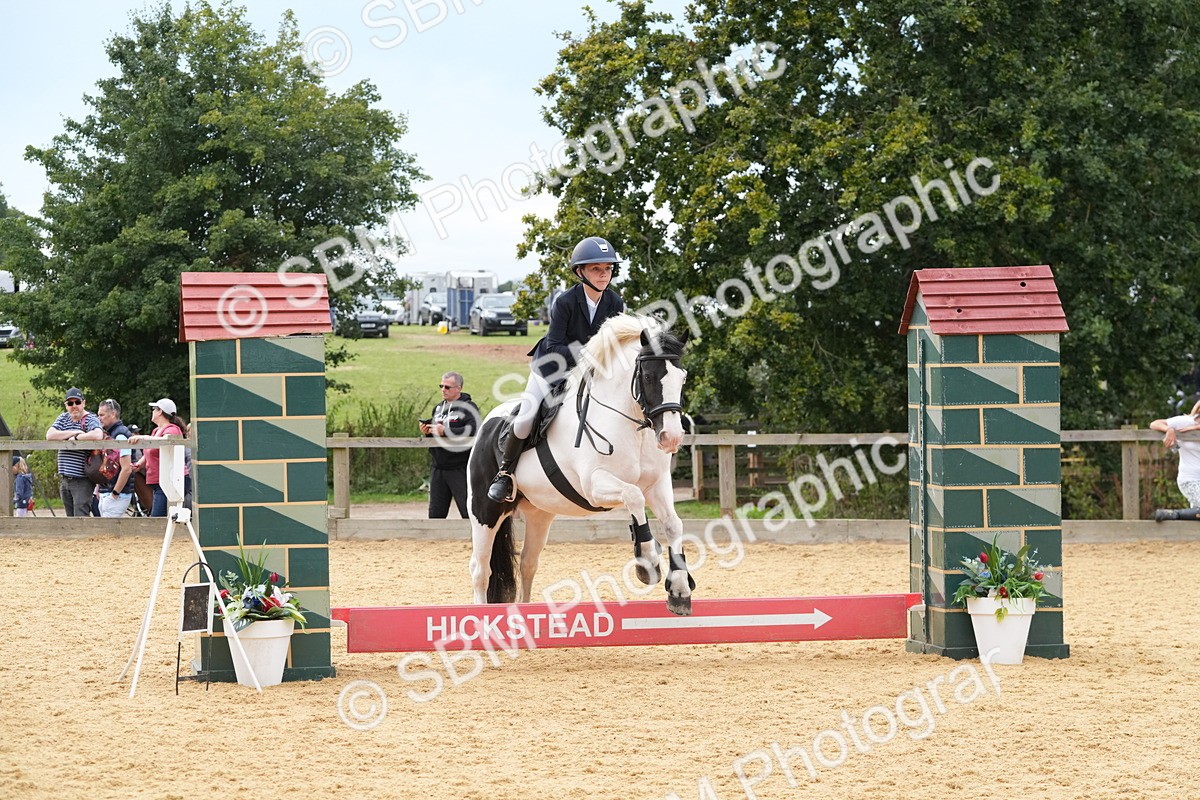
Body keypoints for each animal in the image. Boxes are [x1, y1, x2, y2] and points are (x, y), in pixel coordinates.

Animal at [466, 314, 694, 615]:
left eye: (683, 378)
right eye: (648, 377)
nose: (672, 437)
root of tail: (487, 425)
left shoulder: (656, 485)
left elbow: (673, 524)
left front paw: (679, 591)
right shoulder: (595, 485)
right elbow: (633, 496)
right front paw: (647, 562)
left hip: (539, 513)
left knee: (528, 563)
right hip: (485, 510)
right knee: (480, 569)